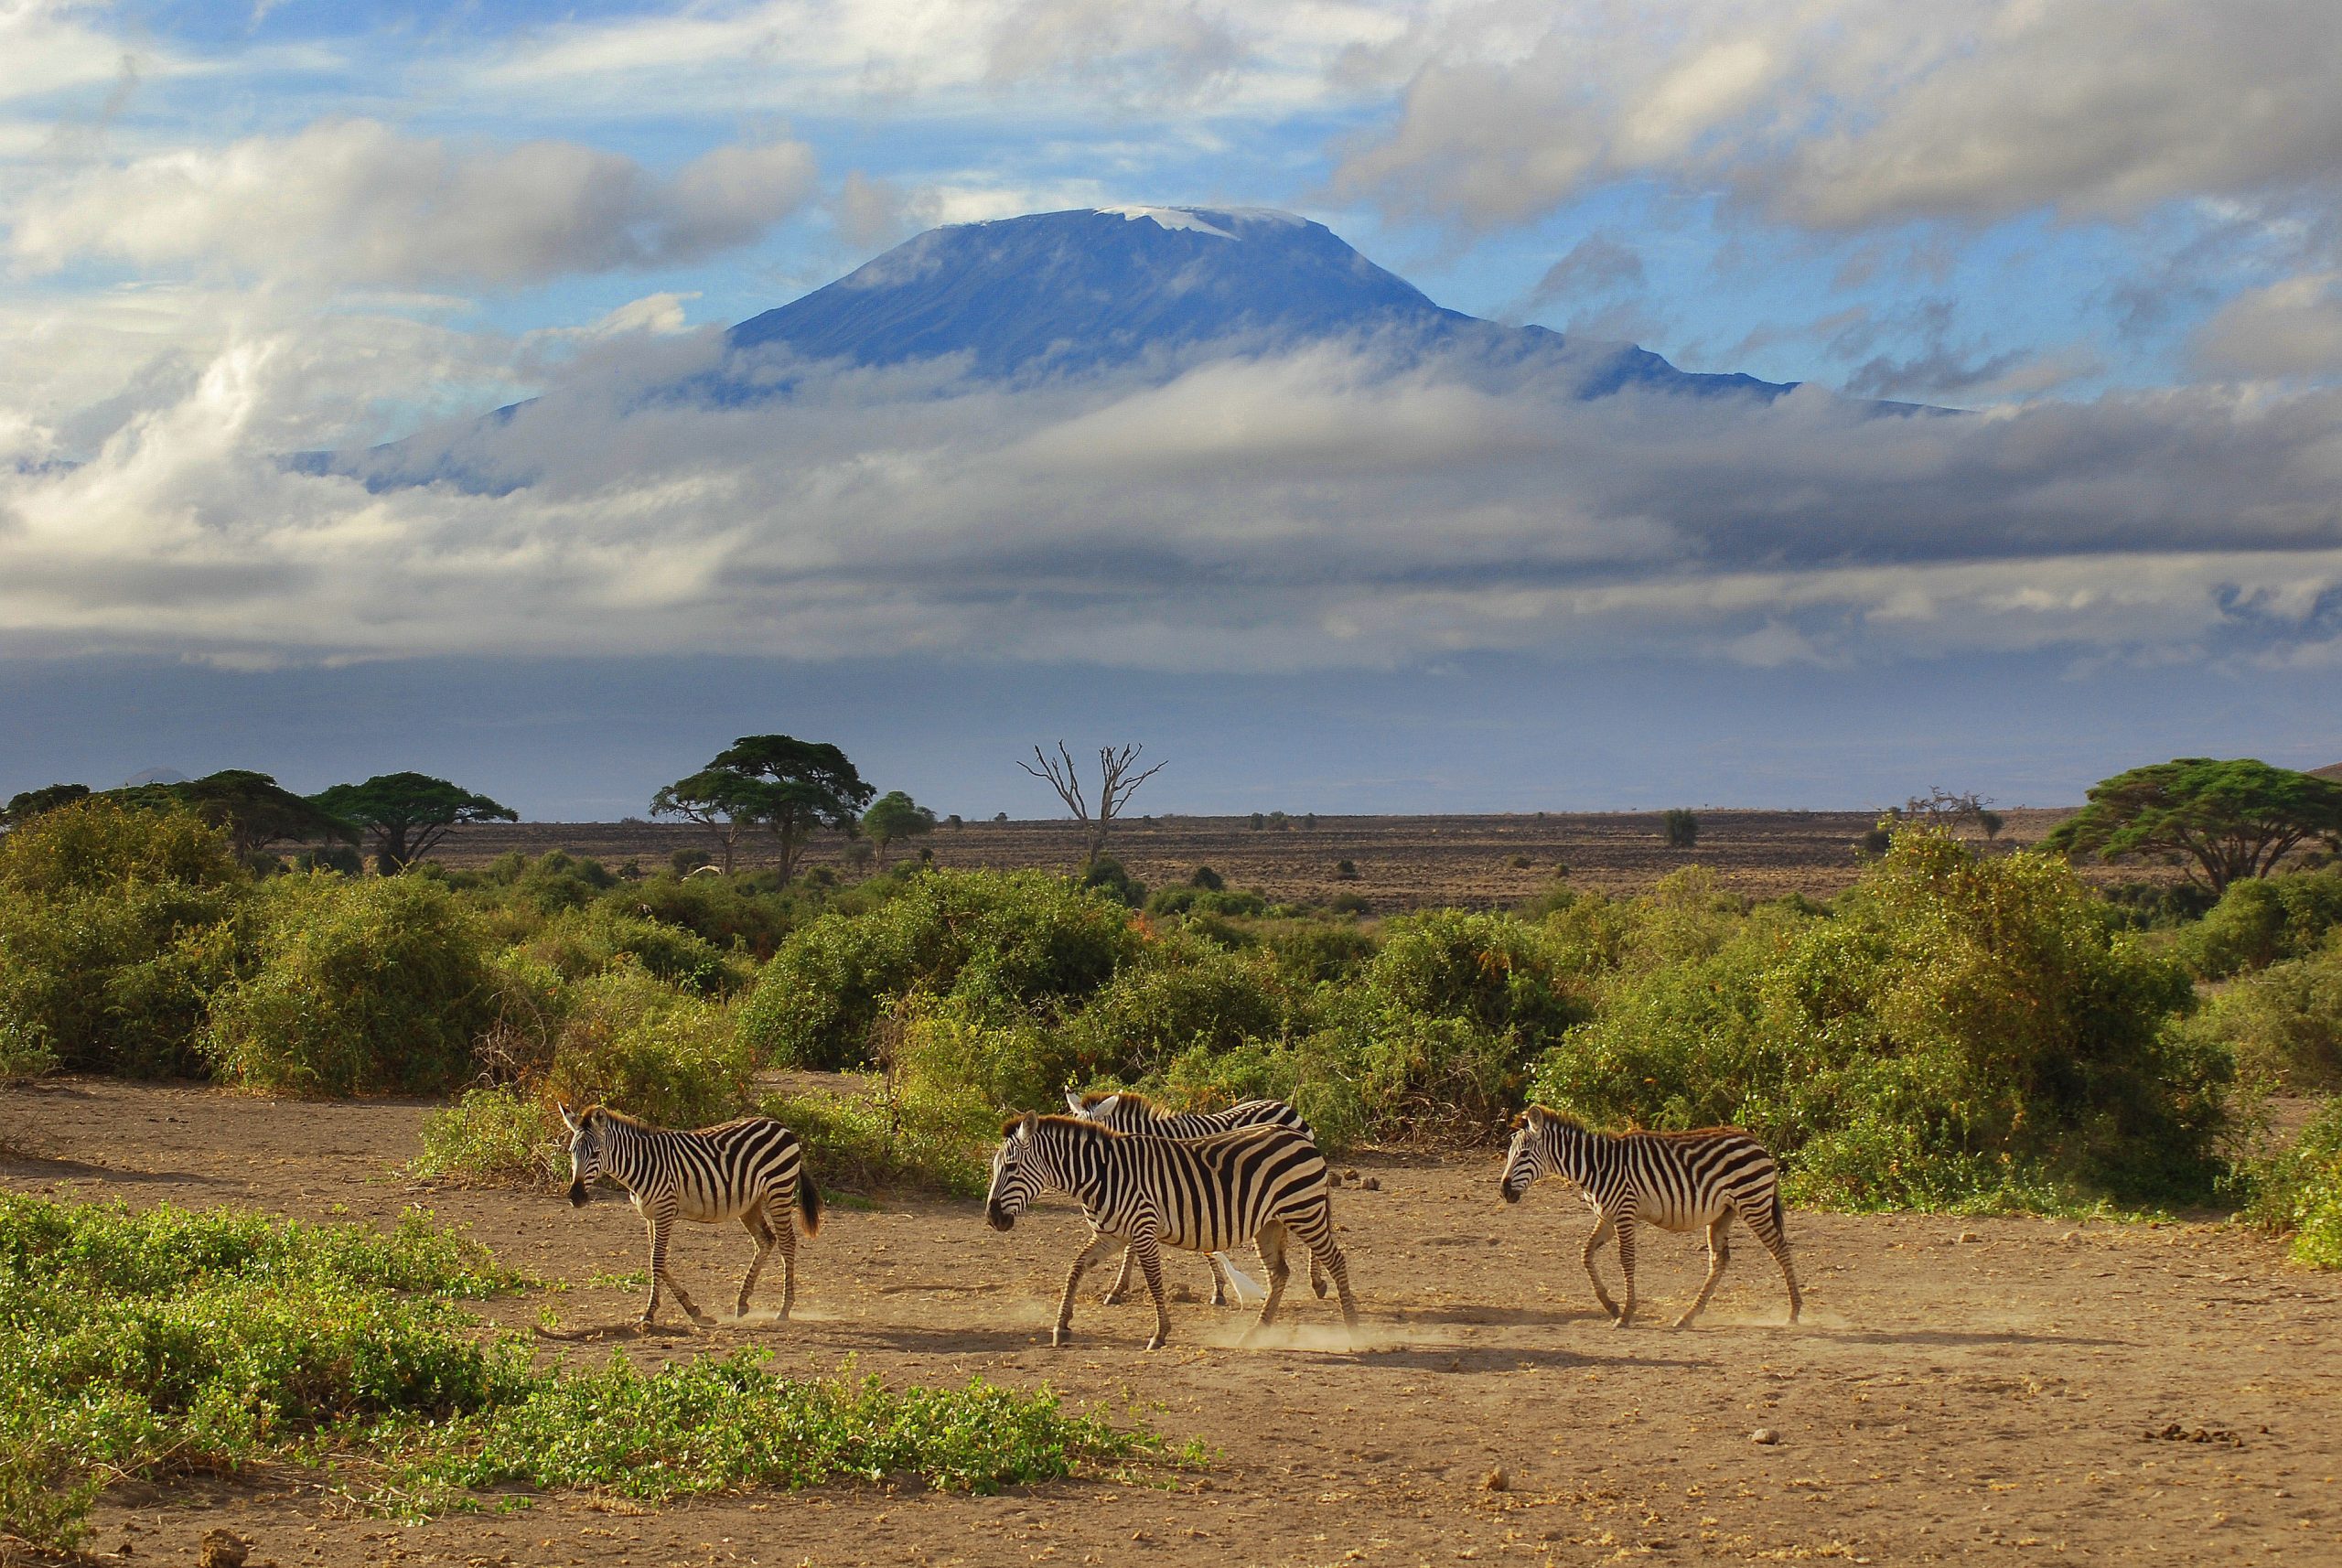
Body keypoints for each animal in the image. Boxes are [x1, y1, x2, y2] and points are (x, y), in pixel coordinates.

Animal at [559, 1104, 824, 1329]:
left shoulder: (665, 1210)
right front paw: (695, 1311)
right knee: (765, 1240)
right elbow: (658, 1261)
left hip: (779, 1190)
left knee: (787, 1243)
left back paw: (784, 1309)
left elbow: (657, 1261)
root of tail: (781, 1126)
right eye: (572, 1152)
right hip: (751, 1203)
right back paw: (742, 1303)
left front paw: (649, 1314)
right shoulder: (650, 1216)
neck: (641, 1165)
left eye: (595, 1153)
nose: (576, 1197)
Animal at [1489, 1113, 1799, 1329]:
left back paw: (1794, 1312)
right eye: (1510, 1154)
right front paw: (1611, 1306)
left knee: (1781, 1250)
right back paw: (1688, 1317)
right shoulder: (1606, 1217)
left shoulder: (1625, 1212)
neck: (1595, 1168)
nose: (1504, 1191)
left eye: (1524, 1155)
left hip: (1753, 1204)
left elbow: (1627, 1260)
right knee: (1719, 1261)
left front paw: (1625, 1314)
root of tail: (1755, 1141)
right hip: (1723, 1213)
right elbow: (1586, 1254)